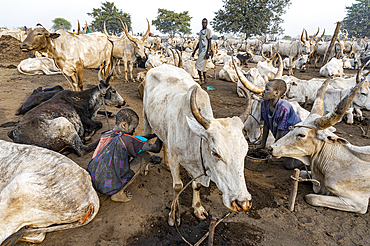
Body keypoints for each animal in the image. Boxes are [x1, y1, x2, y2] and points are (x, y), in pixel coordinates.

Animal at [142, 64, 264, 226]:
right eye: (215, 153)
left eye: (244, 153)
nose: (243, 203)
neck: (194, 138)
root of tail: (160, 65)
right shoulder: (175, 158)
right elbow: (177, 186)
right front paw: (173, 214)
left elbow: (197, 185)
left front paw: (198, 208)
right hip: (146, 118)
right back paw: (145, 168)